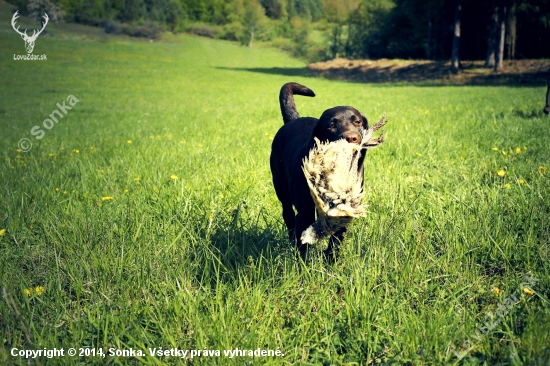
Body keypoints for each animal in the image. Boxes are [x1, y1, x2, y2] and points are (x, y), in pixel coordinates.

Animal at [270, 83, 368, 260]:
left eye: (357, 122)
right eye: (331, 125)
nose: (351, 138)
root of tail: (294, 119)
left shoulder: (343, 212)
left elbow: (335, 244)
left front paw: (331, 263)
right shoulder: (305, 213)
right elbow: (302, 246)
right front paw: (302, 266)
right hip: (282, 191)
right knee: (289, 217)